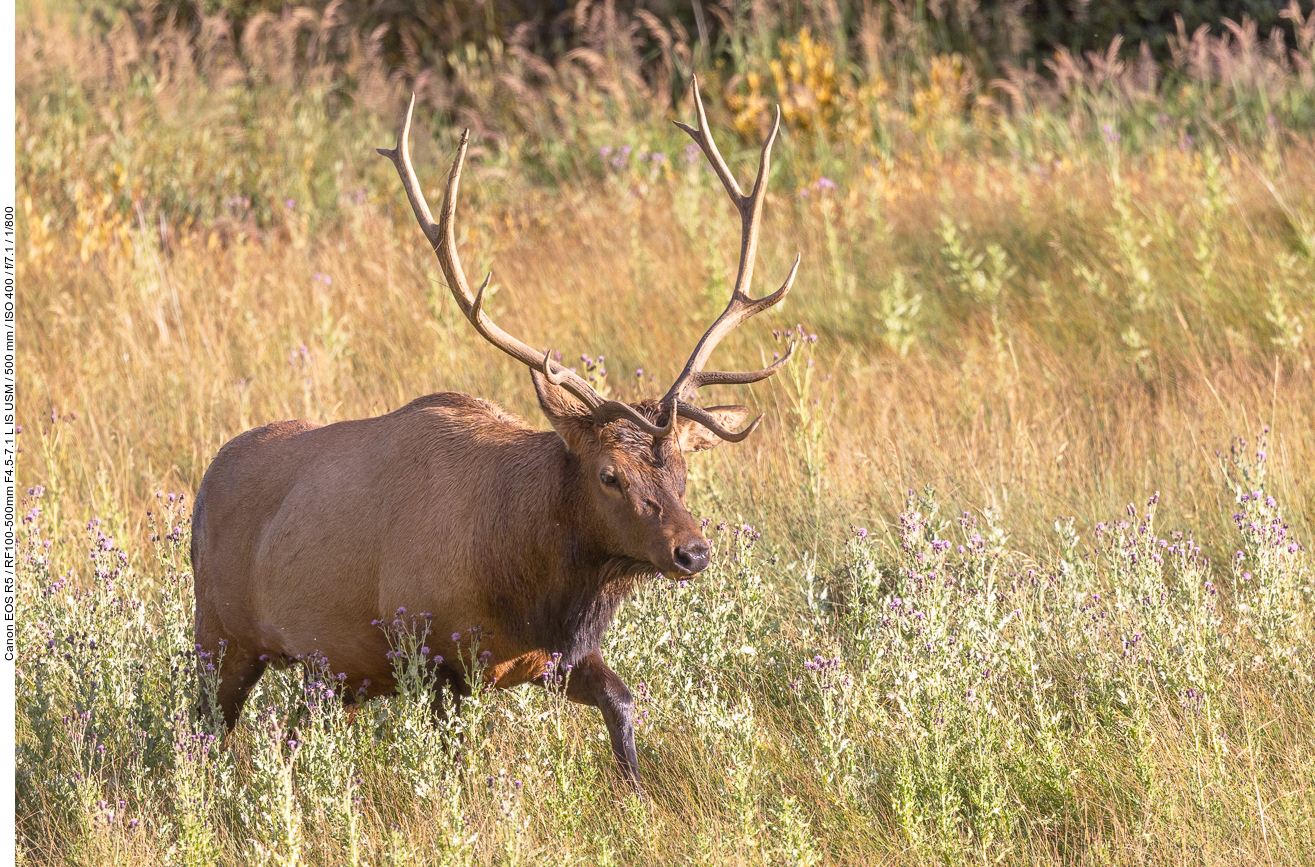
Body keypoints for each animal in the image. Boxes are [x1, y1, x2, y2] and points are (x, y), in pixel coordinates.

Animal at [189, 77, 794, 789]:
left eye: (681, 471)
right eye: (609, 475)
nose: (692, 551)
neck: (526, 582)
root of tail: (201, 488)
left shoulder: (553, 657)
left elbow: (622, 704)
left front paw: (638, 794)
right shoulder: (437, 653)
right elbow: (457, 763)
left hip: (327, 675)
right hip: (220, 633)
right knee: (203, 728)